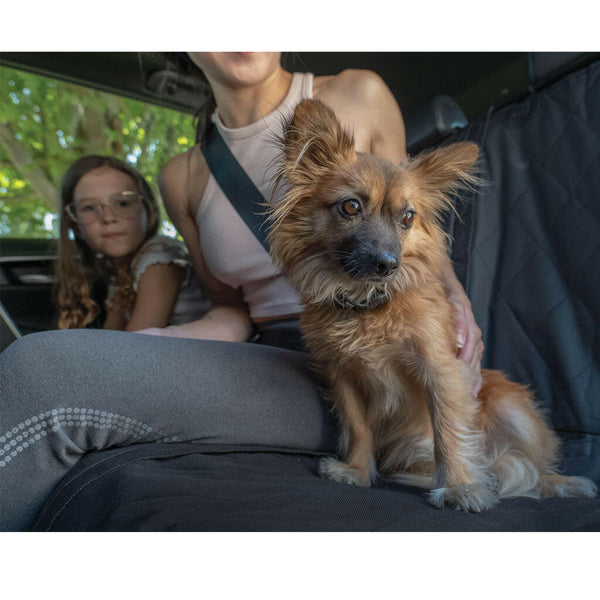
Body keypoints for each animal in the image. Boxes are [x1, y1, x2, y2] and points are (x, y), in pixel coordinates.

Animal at [268, 99, 596, 510]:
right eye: (351, 207)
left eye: (408, 217)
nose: (388, 264)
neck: (368, 306)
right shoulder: (342, 376)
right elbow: (358, 426)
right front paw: (356, 471)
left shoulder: (440, 369)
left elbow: (448, 429)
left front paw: (459, 485)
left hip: (513, 408)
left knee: (533, 468)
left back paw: (552, 481)